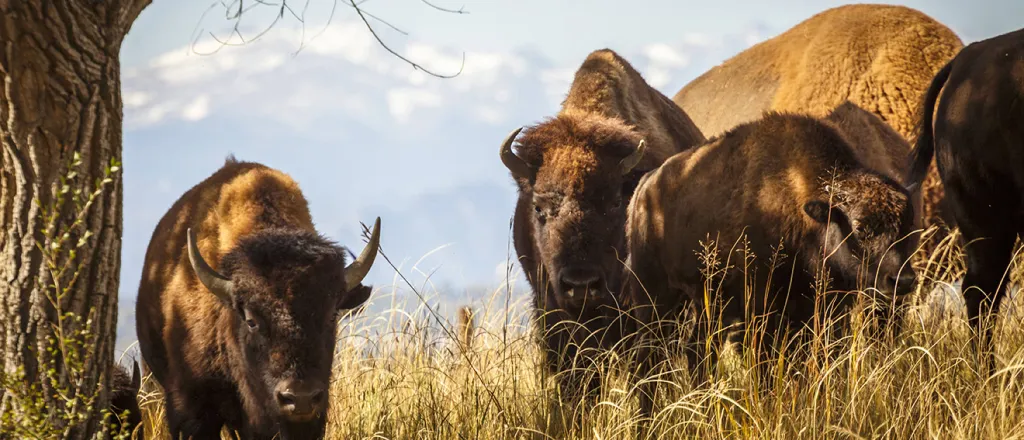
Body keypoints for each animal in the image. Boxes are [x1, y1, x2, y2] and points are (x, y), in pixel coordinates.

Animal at [626, 102, 925, 419]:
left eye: (906, 226)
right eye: (861, 228)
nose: (903, 280)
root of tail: (643, 190)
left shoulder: (824, 311)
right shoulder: (762, 313)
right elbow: (766, 367)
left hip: (709, 304)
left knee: (697, 351)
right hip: (655, 299)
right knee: (649, 358)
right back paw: (647, 418)